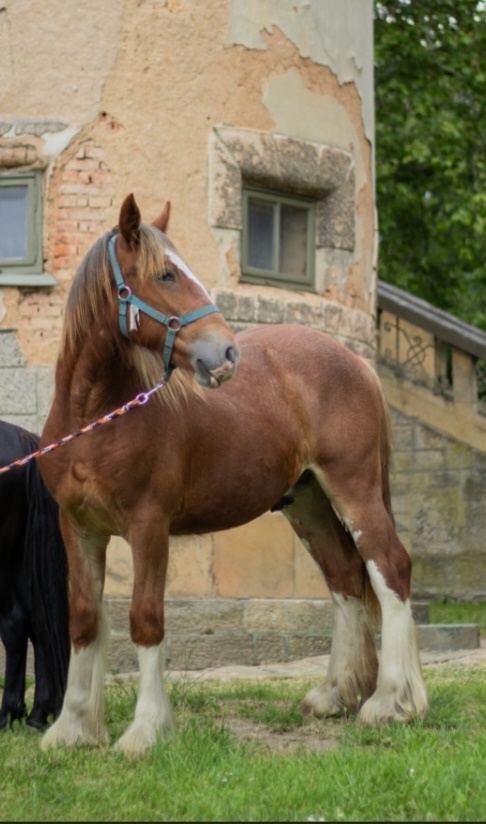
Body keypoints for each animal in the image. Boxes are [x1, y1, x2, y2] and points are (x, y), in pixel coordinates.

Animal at [39, 192, 428, 757]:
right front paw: (71, 729)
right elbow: (85, 620)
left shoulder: (149, 526)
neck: (98, 417)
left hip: (353, 488)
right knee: (344, 578)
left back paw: (392, 703)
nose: (226, 353)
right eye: (166, 274)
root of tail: (356, 362)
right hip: (307, 501)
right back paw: (334, 694)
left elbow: (146, 619)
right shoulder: (78, 527)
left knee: (388, 567)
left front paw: (145, 731)